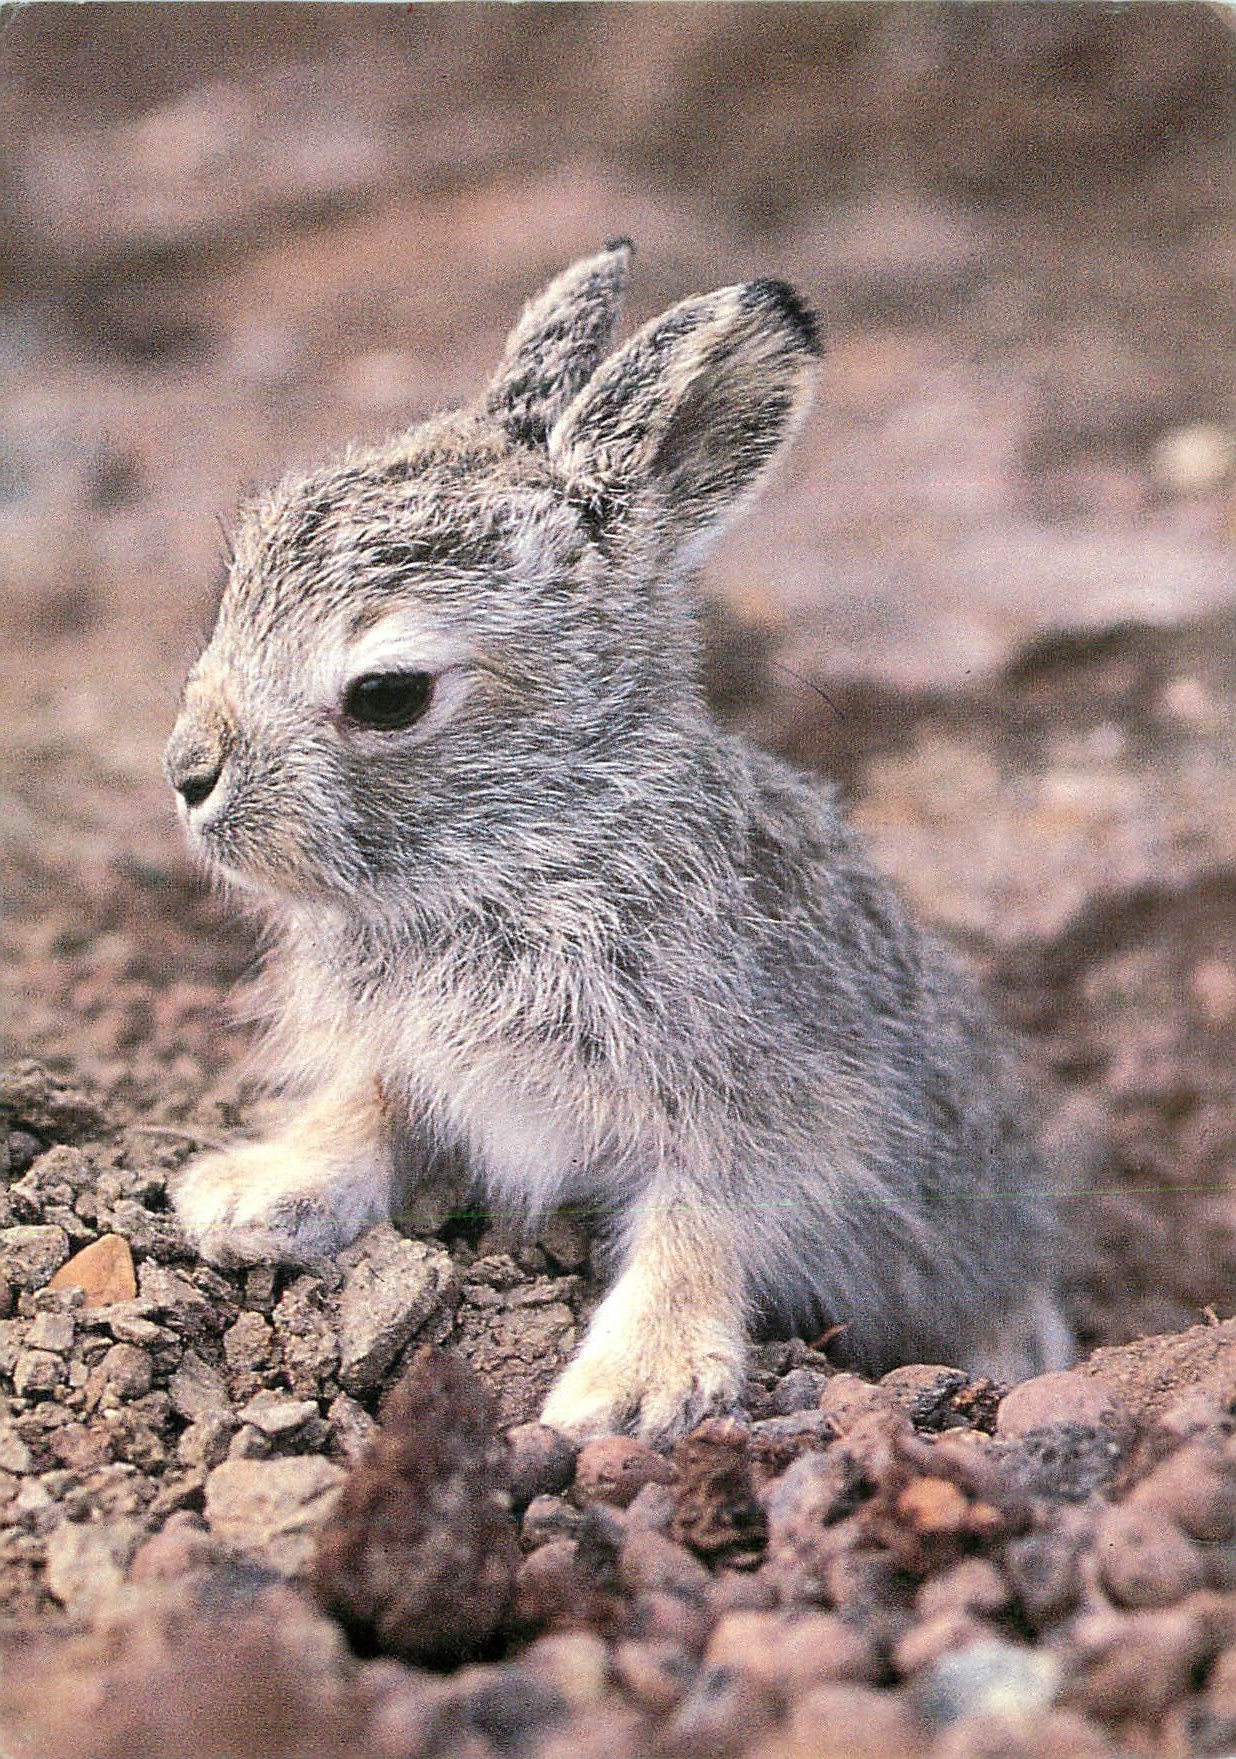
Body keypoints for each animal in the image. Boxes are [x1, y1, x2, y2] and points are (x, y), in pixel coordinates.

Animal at [165, 241, 1072, 1442]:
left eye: (390, 695)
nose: (186, 776)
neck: (535, 839)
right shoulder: (410, 1061)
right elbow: (368, 1109)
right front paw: (255, 1195)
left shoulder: (761, 1103)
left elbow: (705, 1218)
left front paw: (637, 1386)